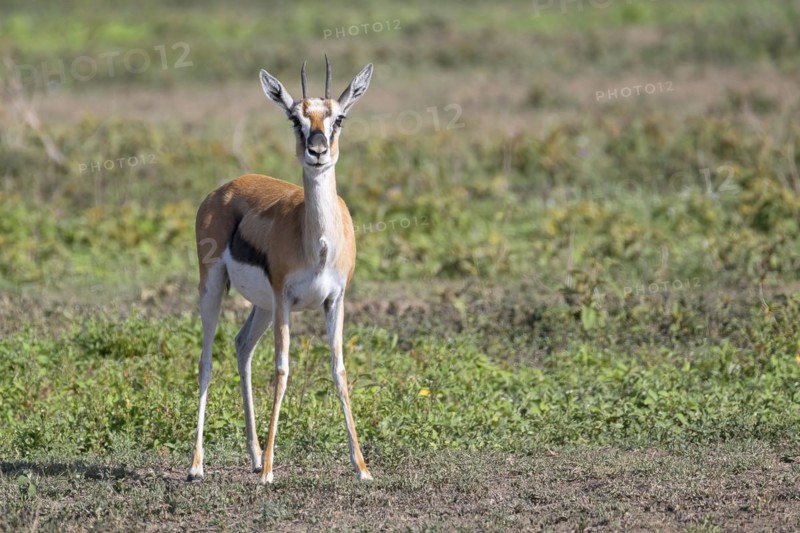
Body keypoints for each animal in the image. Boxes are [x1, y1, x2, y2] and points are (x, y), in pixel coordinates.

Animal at [188, 57, 374, 484]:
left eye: (338, 117)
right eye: (295, 118)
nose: (317, 150)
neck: (316, 242)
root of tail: (225, 188)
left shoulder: (335, 300)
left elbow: (339, 370)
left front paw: (362, 467)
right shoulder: (286, 299)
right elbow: (282, 369)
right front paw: (270, 472)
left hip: (263, 307)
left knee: (241, 346)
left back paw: (255, 455)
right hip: (215, 288)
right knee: (205, 361)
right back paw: (198, 466)